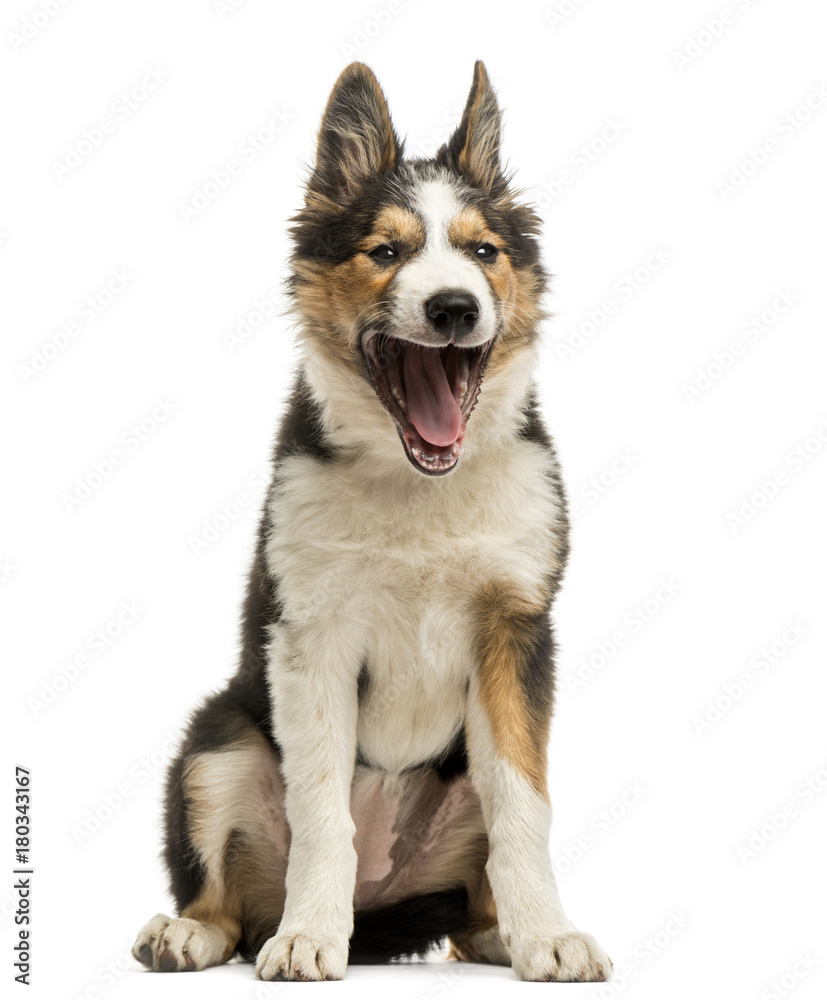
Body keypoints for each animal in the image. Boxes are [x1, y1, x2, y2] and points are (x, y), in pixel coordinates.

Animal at [134, 60, 616, 984]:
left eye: (482, 252)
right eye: (386, 253)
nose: (455, 308)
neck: (419, 485)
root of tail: (383, 907)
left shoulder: (515, 627)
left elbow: (524, 803)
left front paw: (548, 934)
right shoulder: (310, 634)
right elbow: (323, 811)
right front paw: (307, 938)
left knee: (468, 903)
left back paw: (499, 935)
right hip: (218, 740)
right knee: (226, 900)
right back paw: (195, 934)